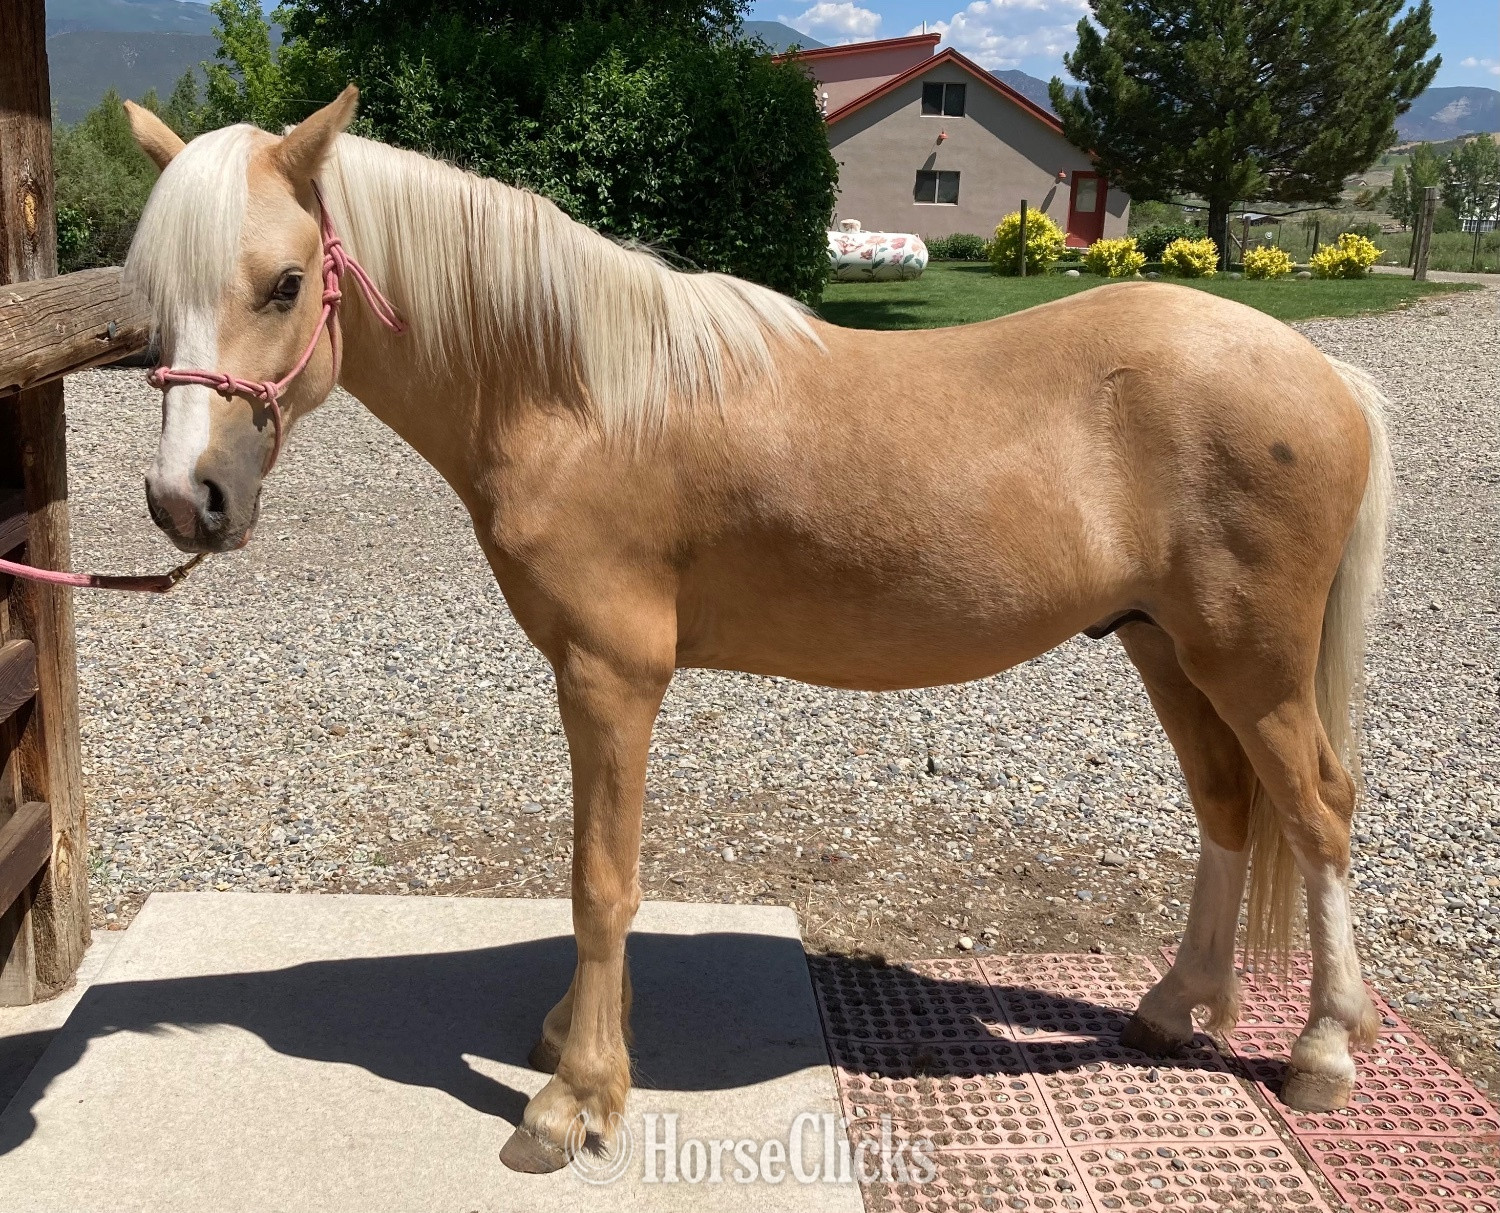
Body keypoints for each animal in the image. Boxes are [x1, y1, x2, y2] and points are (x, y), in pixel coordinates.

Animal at [121, 87, 1391, 1173]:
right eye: (151, 299)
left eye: (285, 282)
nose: (188, 499)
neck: (580, 398)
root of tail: (1325, 372)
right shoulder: (592, 679)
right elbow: (601, 870)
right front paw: (577, 1037)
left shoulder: (613, 673)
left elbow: (601, 879)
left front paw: (577, 1097)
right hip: (1163, 646)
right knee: (1228, 807)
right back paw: (1178, 1007)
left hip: (1251, 662)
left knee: (1318, 811)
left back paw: (1324, 1049)